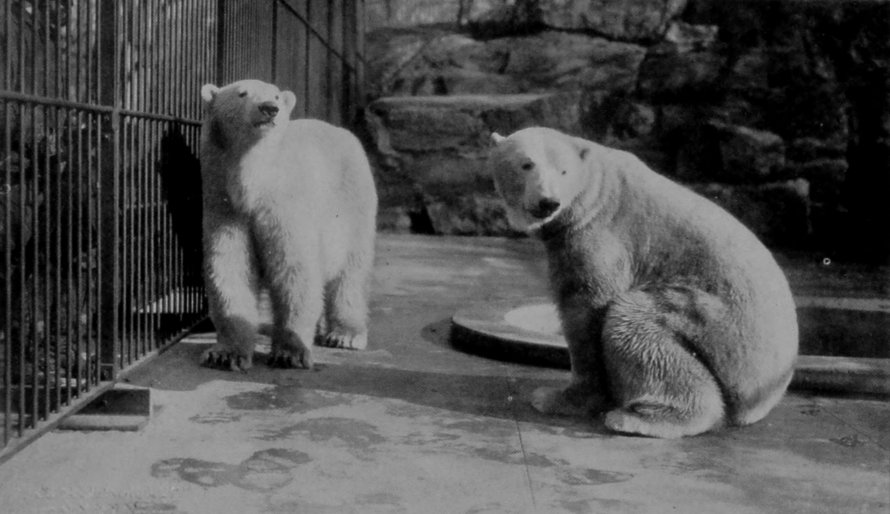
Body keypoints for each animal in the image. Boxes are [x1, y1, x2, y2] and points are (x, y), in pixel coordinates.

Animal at [199, 79, 377, 371]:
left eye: (275, 96)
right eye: (242, 93)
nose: (269, 109)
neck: (253, 184)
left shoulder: (284, 207)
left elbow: (294, 272)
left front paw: (289, 353)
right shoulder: (225, 207)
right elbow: (231, 269)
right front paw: (226, 354)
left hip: (353, 203)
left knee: (351, 271)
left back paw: (345, 334)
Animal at [489, 127, 798, 438]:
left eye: (563, 171)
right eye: (526, 164)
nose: (548, 202)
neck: (595, 191)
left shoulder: (599, 237)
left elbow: (587, 310)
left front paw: (557, 399)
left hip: (718, 326)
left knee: (637, 321)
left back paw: (636, 418)